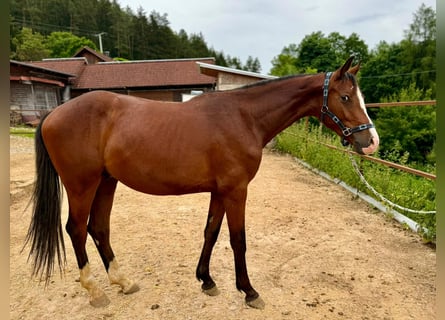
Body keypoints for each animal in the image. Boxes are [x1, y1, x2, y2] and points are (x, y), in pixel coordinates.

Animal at [24, 56, 378, 308]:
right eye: (346, 97)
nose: (371, 141)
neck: (243, 118)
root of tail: (54, 113)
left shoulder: (220, 191)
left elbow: (211, 232)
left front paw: (206, 280)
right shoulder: (236, 191)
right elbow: (238, 240)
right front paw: (249, 291)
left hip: (106, 182)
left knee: (98, 228)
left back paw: (123, 281)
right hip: (81, 185)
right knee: (76, 229)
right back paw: (95, 291)